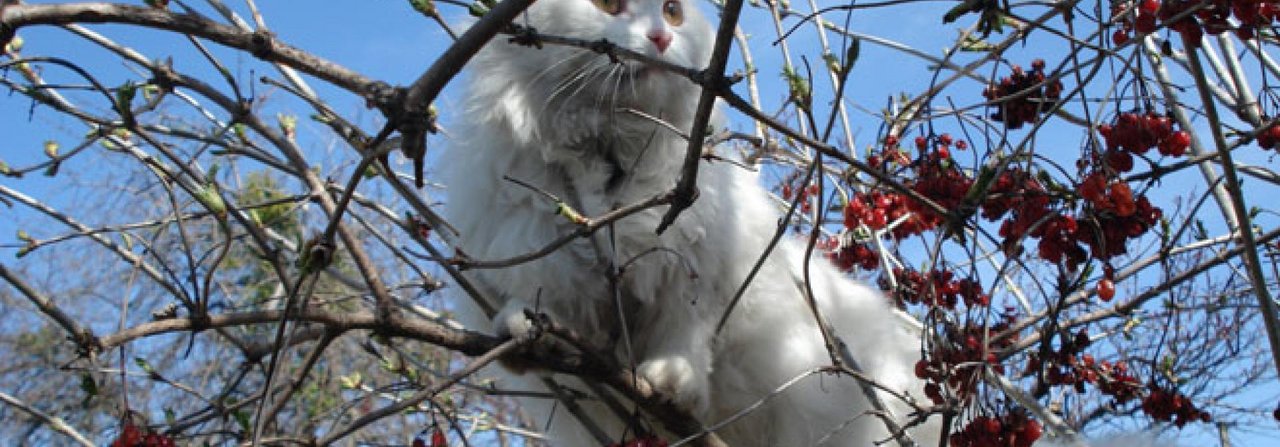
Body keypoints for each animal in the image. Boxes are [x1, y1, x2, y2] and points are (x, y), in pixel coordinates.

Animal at [440, 0, 942, 443]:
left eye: (672, 12)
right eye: (608, 5)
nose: (660, 38)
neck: (611, 154)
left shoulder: (699, 275)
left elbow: (684, 338)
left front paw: (672, 383)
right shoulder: (542, 259)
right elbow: (551, 308)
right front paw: (533, 330)